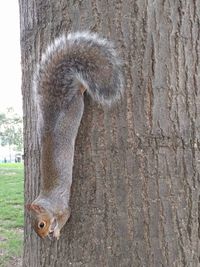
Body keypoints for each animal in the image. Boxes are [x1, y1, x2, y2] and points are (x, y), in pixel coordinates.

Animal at [26, 31, 123, 241]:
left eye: (41, 224)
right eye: (34, 227)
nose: (44, 237)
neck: (48, 202)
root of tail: (55, 112)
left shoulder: (62, 208)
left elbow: (66, 216)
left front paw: (56, 231)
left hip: (75, 108)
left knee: (78, 93)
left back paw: (81, 87)